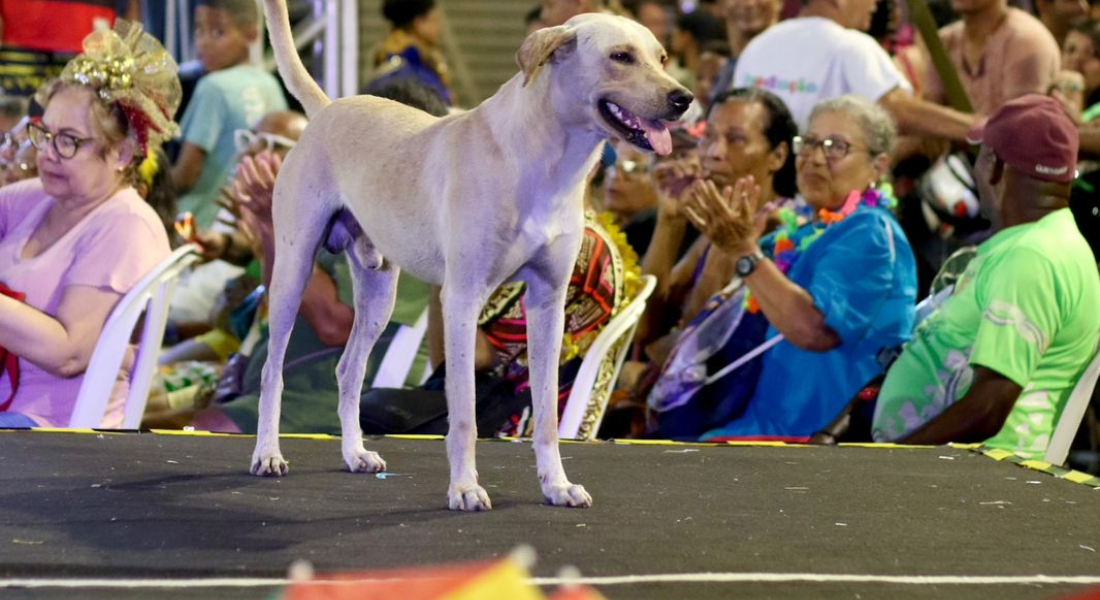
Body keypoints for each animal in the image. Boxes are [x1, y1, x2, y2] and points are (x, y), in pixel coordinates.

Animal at [253, 0, 690, 510]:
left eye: (662, 58)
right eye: (620, 56)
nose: (683, 99)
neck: (543, 159)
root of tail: (328, 109)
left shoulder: (548, 304)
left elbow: (545, 414)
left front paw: (557, 485)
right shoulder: (462, 301)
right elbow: (463, 415)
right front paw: (464, 487)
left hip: (378, 293)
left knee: (348, 369)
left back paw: (355, 453)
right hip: (292, 272)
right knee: (272, 371)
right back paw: (268, 454)